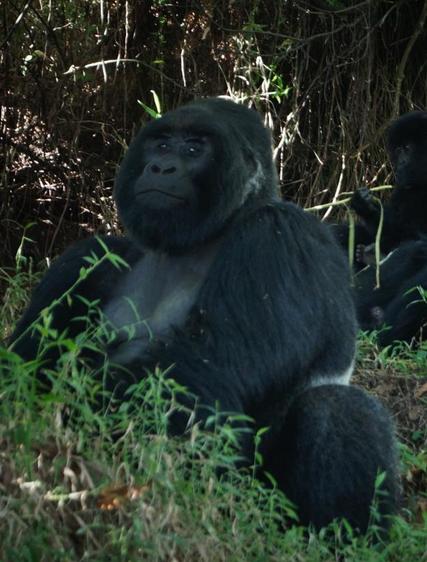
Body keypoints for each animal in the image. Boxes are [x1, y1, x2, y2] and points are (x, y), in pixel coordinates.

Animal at [10, 98, 398, 532]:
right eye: (161, 145)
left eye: (195, 149)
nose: (160, 167)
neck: (199, 240)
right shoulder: (88, 257)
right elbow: (28, 357)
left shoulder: (279, 235)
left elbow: (202, 373)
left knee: (334, 406)